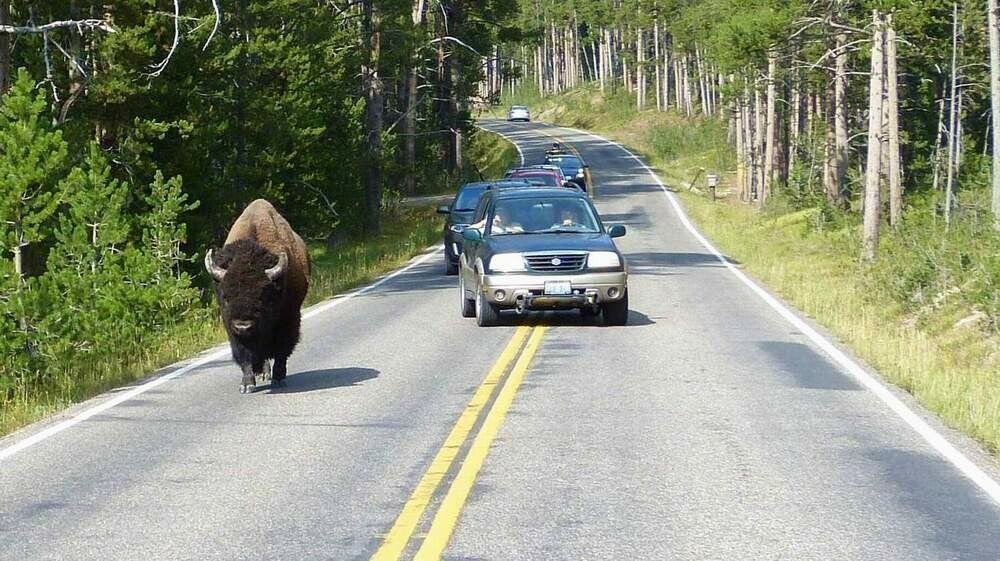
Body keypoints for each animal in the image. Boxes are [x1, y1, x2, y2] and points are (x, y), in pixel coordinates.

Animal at [205, 199, 311, 393]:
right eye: (226, 297)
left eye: (262, 297)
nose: (243, 326)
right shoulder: (233, 330)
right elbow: (244, 355)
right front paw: (247, 385)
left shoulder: (289, 319)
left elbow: (282, 350)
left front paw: (278, 379)